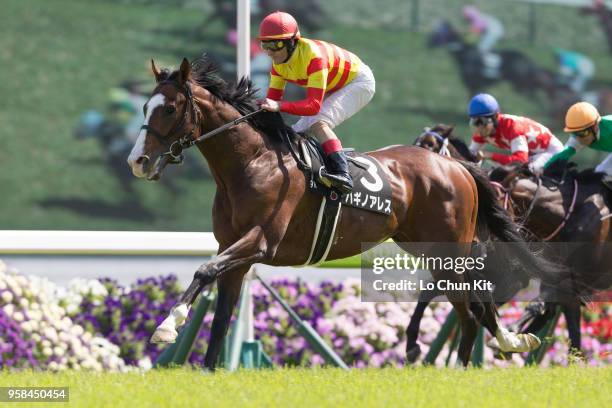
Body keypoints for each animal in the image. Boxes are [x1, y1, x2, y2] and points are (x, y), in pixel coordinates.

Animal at [126, 58, 552, 370]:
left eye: (169, 108)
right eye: (145, 106)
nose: (137, 161)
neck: (252, 163)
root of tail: (456, 166)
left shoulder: (260, 241)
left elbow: (204, 270)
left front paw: (167, 326)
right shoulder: (236, 252)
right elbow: (220, 316)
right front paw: (208, 369)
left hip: (449, 249)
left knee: (475, 305)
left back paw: (499, 347)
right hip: (427, 247)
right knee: (469, 309)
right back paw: (477, 360)